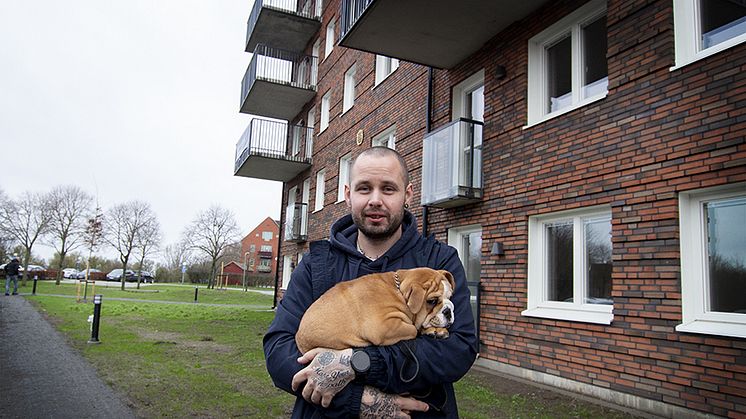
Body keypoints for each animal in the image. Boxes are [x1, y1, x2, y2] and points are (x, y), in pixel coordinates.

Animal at [294, 270, 454, 354]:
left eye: (450, 296)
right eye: (432, 301)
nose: (449, 310)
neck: (399, 292)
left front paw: (436, 330)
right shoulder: (384, 327)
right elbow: (413, 329)